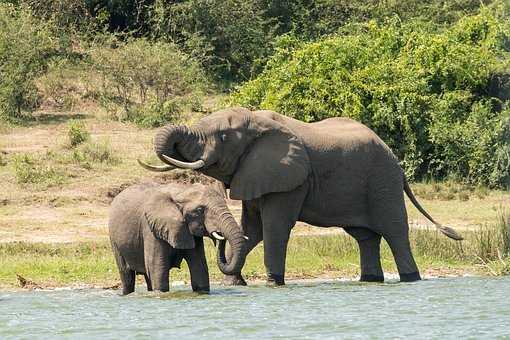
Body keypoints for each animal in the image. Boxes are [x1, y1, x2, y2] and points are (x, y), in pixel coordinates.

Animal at [108, 181, 246, 294]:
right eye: (200, 210)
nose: (219, 234)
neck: (182, 191)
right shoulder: (151, 228)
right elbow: (157, 271)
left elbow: (200, 270)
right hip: (114, 239)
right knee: (127, 276)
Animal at [138, 107, 462, 286]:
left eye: (224, 137)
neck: (257, 122)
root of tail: (397, 162)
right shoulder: (254, 172)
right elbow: (252, 230)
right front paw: (234, 282)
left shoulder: (289, 180)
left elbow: (274, 228)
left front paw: (273, 282)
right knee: (365, 237)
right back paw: (370, 280)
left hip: (383, 181)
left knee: (395, 232)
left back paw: (411, 279)